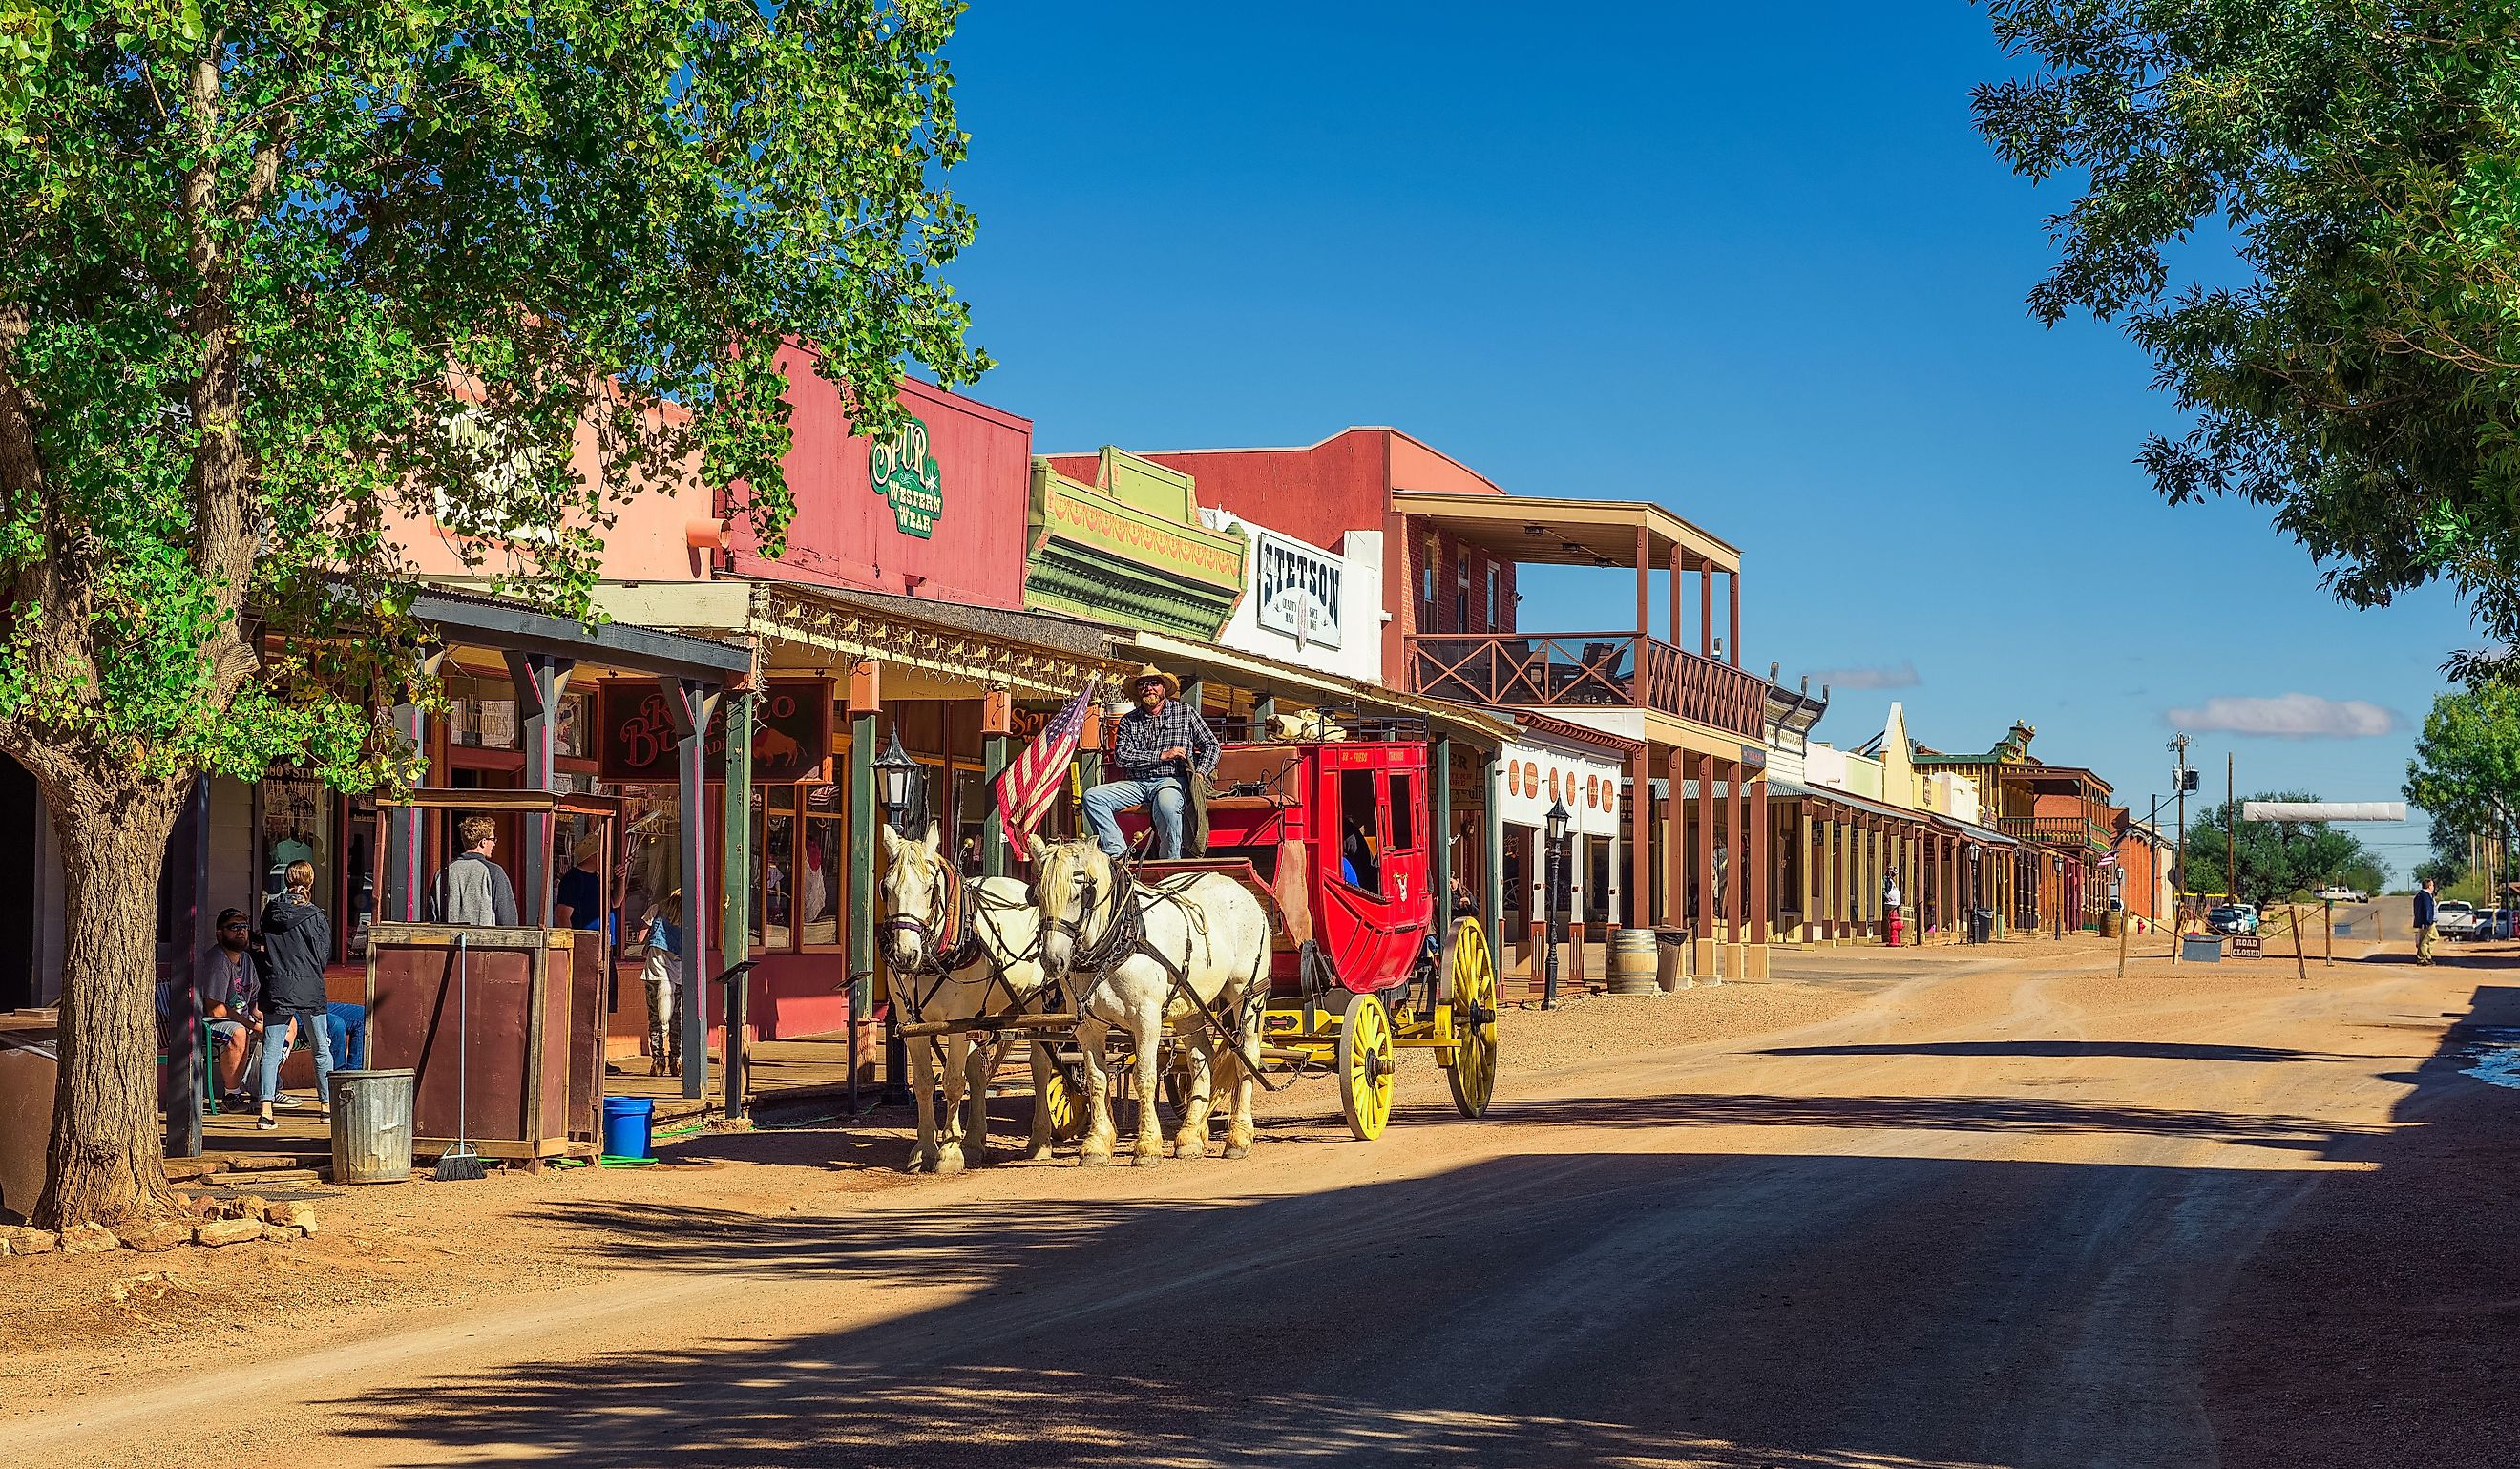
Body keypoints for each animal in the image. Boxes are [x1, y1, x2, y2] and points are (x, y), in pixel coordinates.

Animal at [882, 821, 1058, 1179]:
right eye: (887, 887)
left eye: (930, 889)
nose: (905, 954)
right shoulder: (911, 1023)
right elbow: (924, 1083)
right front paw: (925, 1149)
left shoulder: (957, 1023)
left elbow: (952, 1081)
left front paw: (949, 1153)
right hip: (988, 1013)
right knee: (979, 1070)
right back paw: (975, 1141)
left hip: (1036, 1004)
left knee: (1040, 1066)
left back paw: (1039, 1141)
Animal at [1022, 841, 1270, 1174]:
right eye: (1038, 895)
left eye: (1078, 894)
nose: (1052, 961)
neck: (1118, 940)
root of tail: (1242, 891)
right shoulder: (1088, 1026)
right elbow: (1097, 1079)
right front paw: (1097, 1145)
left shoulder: (1147, 1019)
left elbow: (1144, 1077)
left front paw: (1148, 1146)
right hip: (1191, 1005)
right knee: (1200, 1060)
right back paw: (1190, 1137)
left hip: (1248, 994)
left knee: (1247, 1058)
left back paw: (1238, 1138)